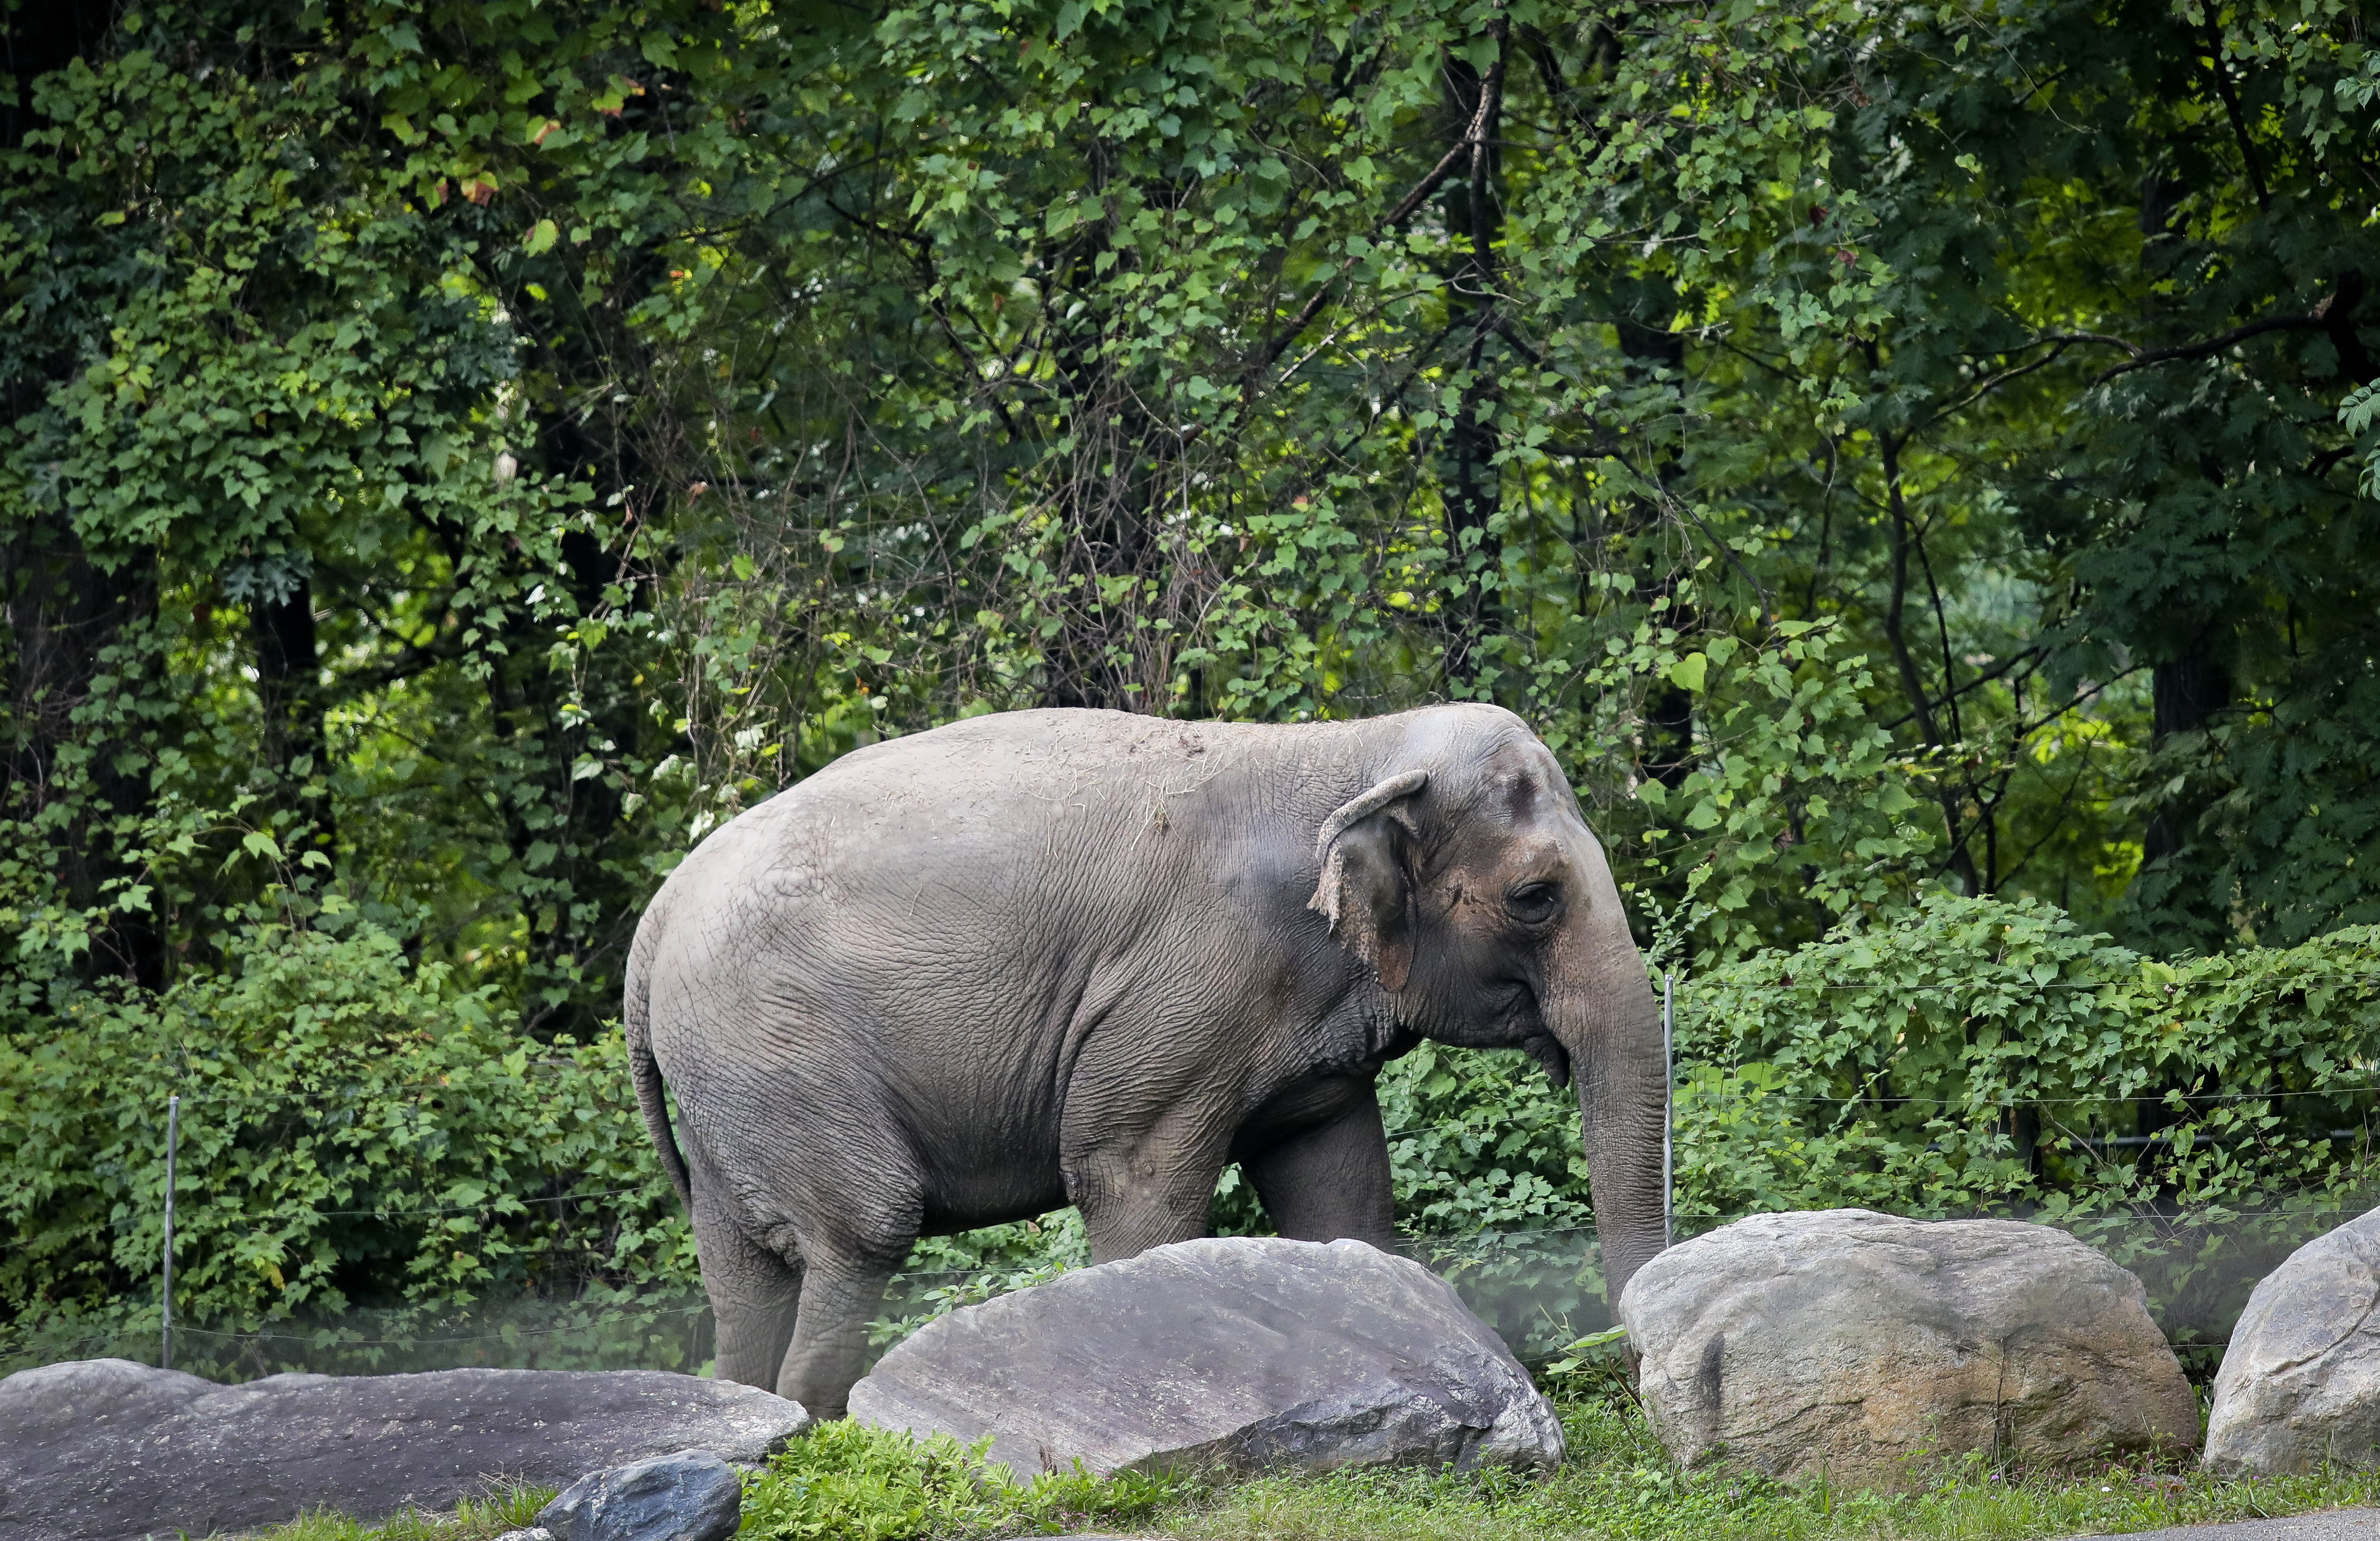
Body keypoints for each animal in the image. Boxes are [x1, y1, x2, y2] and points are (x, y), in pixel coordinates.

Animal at [625, 703, 1670, 1417]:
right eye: (1535, 897)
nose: (1632, 1381)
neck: (1349, 749)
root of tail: (657, 916)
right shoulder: (1184, 990)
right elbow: (1134, 1180)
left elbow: (1338, 1189)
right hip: (778, 1047)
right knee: (862, 1230)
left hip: (727, 1082)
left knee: (742, 1273)